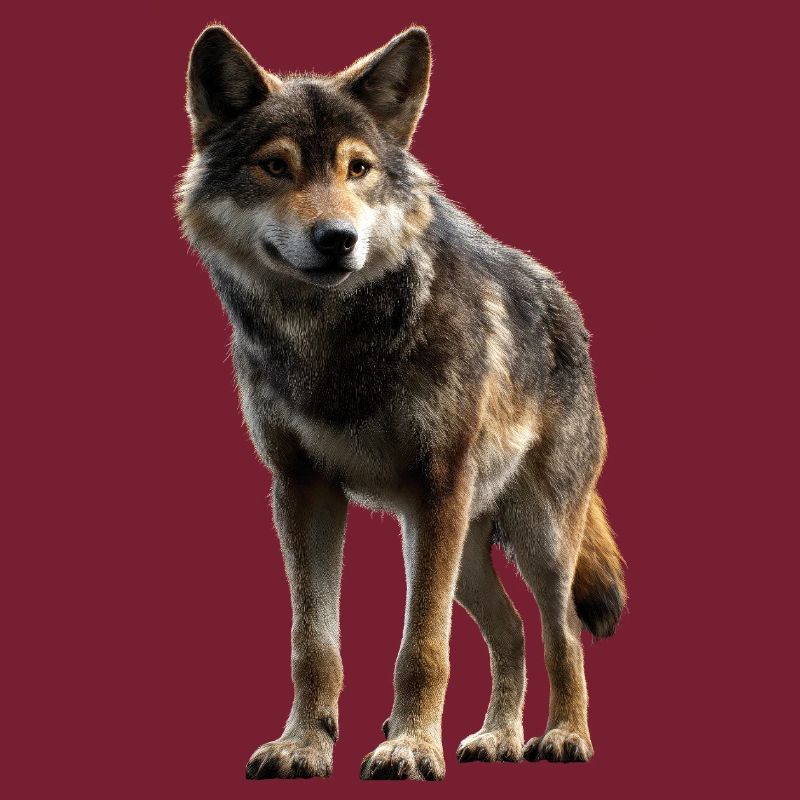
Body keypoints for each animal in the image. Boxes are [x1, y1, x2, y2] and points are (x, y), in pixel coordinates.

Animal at [178, 24, 626, 781]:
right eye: (276, 167)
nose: (338, 239)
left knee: (560, 632)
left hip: (529, 538)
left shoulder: (436, 487)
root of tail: (565, 303)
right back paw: (498, 739)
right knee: (511, 633)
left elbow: (422, 648)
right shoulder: (303, 490)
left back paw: (564, 737)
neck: (333, 340)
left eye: (358, 168)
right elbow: (312, 645)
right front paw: (304, 745)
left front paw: (410, 747)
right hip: (460, 550)